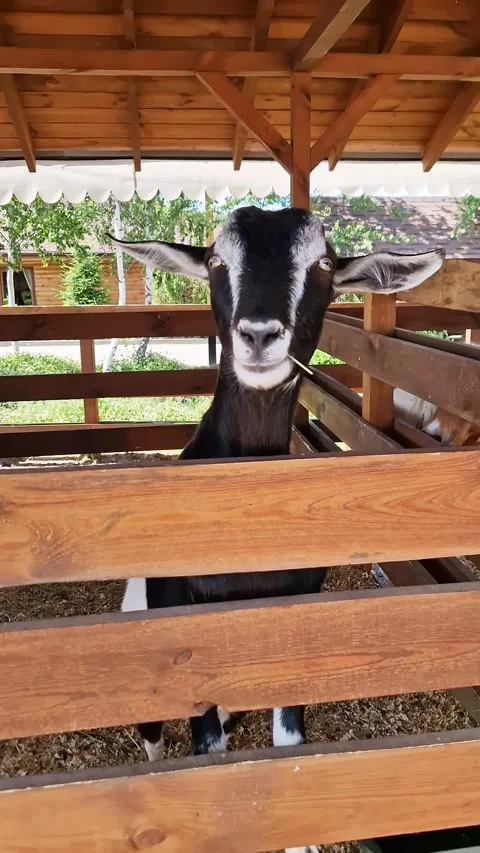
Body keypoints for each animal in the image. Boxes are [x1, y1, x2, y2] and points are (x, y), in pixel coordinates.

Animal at [112, 206, 444, 853]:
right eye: (217, 259)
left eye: (324, 263)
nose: (260, 335)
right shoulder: (187, 638)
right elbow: (206, 753)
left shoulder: (295, 613)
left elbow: (286, 746)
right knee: (154, 738)